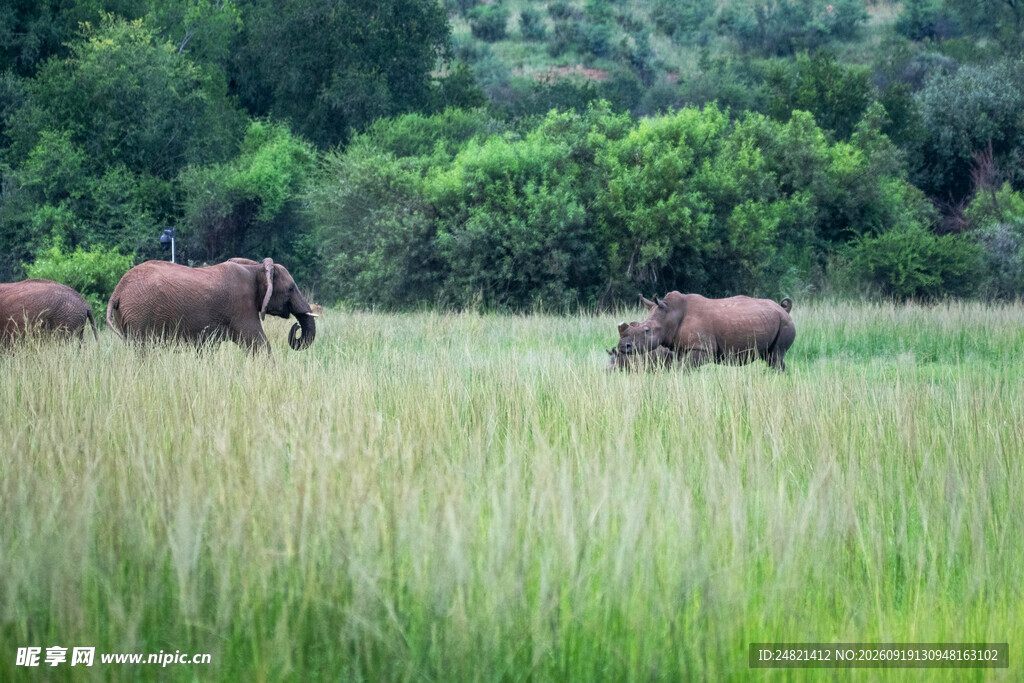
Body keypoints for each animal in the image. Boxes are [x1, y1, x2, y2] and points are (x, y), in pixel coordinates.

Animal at [106, 257, 316, 354]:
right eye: (291, 288)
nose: (296, 327)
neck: (256, 268)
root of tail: (116, 293)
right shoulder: (242, 307)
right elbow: (259, 344)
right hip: (139, 314)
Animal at [616, 292, 795, 371]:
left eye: (647, 330)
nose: (623, 346)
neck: (670, 315)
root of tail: (784, 310)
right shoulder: (681, 348)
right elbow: (680, 366)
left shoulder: (702, 348)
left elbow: (684, 367)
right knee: (771, 357)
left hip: (785, 323)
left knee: (775, 356)